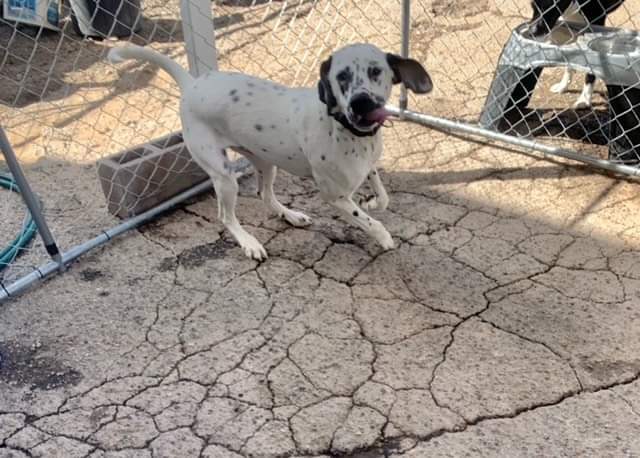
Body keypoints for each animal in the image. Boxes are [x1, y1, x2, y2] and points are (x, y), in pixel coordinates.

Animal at [107, 44, 432, 260]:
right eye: (341, 76)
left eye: (376, 71)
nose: (361, 103)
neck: (348, 131)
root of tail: (193, 83)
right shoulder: (334, 196)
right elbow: (367, 219)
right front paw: (383, 236)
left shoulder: (368, 166)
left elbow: (383, 196)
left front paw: (373, 201)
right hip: (224, 176)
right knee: (226, 216)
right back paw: (249, 242)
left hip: (265, 161)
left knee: (264, 195)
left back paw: (291, 216)